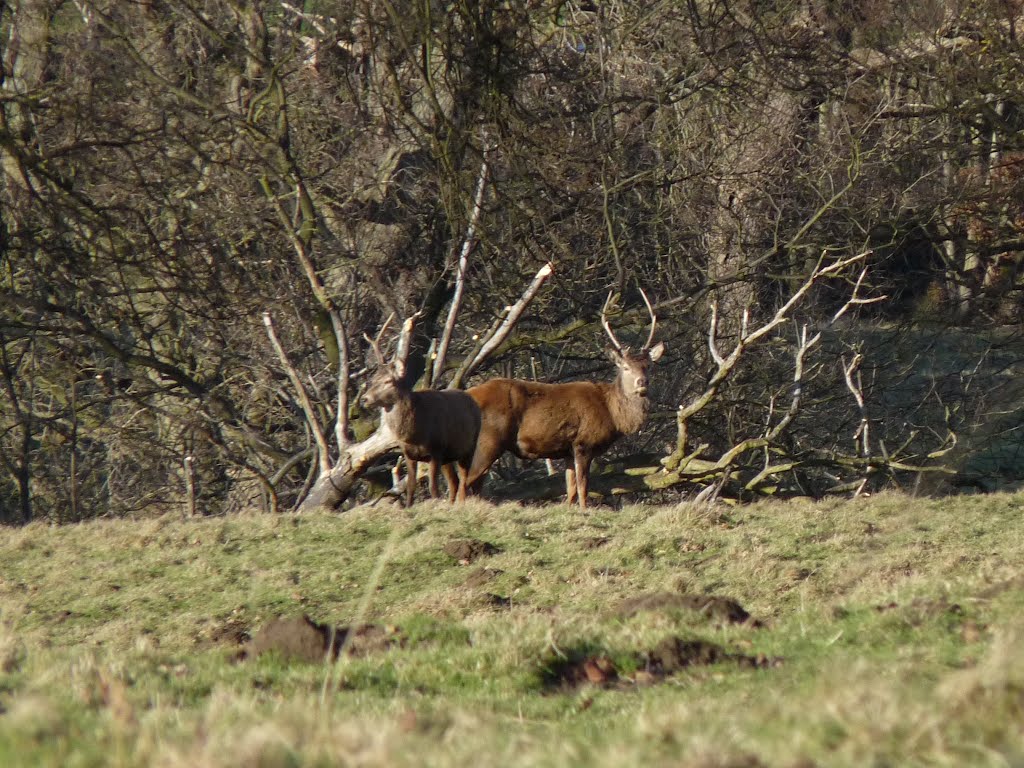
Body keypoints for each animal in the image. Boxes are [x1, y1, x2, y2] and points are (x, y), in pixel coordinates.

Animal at [360, 319, 483, 507]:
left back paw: (460, 503)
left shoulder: (436, 450)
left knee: (463, 479)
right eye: (373, 380)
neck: (415, 432)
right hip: (448, 456)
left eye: (388, 381)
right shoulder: (409, 454)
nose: (364, 399)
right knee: (454, 481)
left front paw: (435, 505)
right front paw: (409, 507)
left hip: (469, 445)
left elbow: (433, 487)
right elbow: (411, 485)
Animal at [464, 290, 663, 507]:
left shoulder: (566, 451)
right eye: (625, 367)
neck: (612, 414)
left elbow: (571, 489)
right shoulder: (583, 443)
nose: (642, 382)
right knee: (465, 481)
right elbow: (583, 487)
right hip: (489, 439)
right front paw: (585, 510)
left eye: (648, 366)